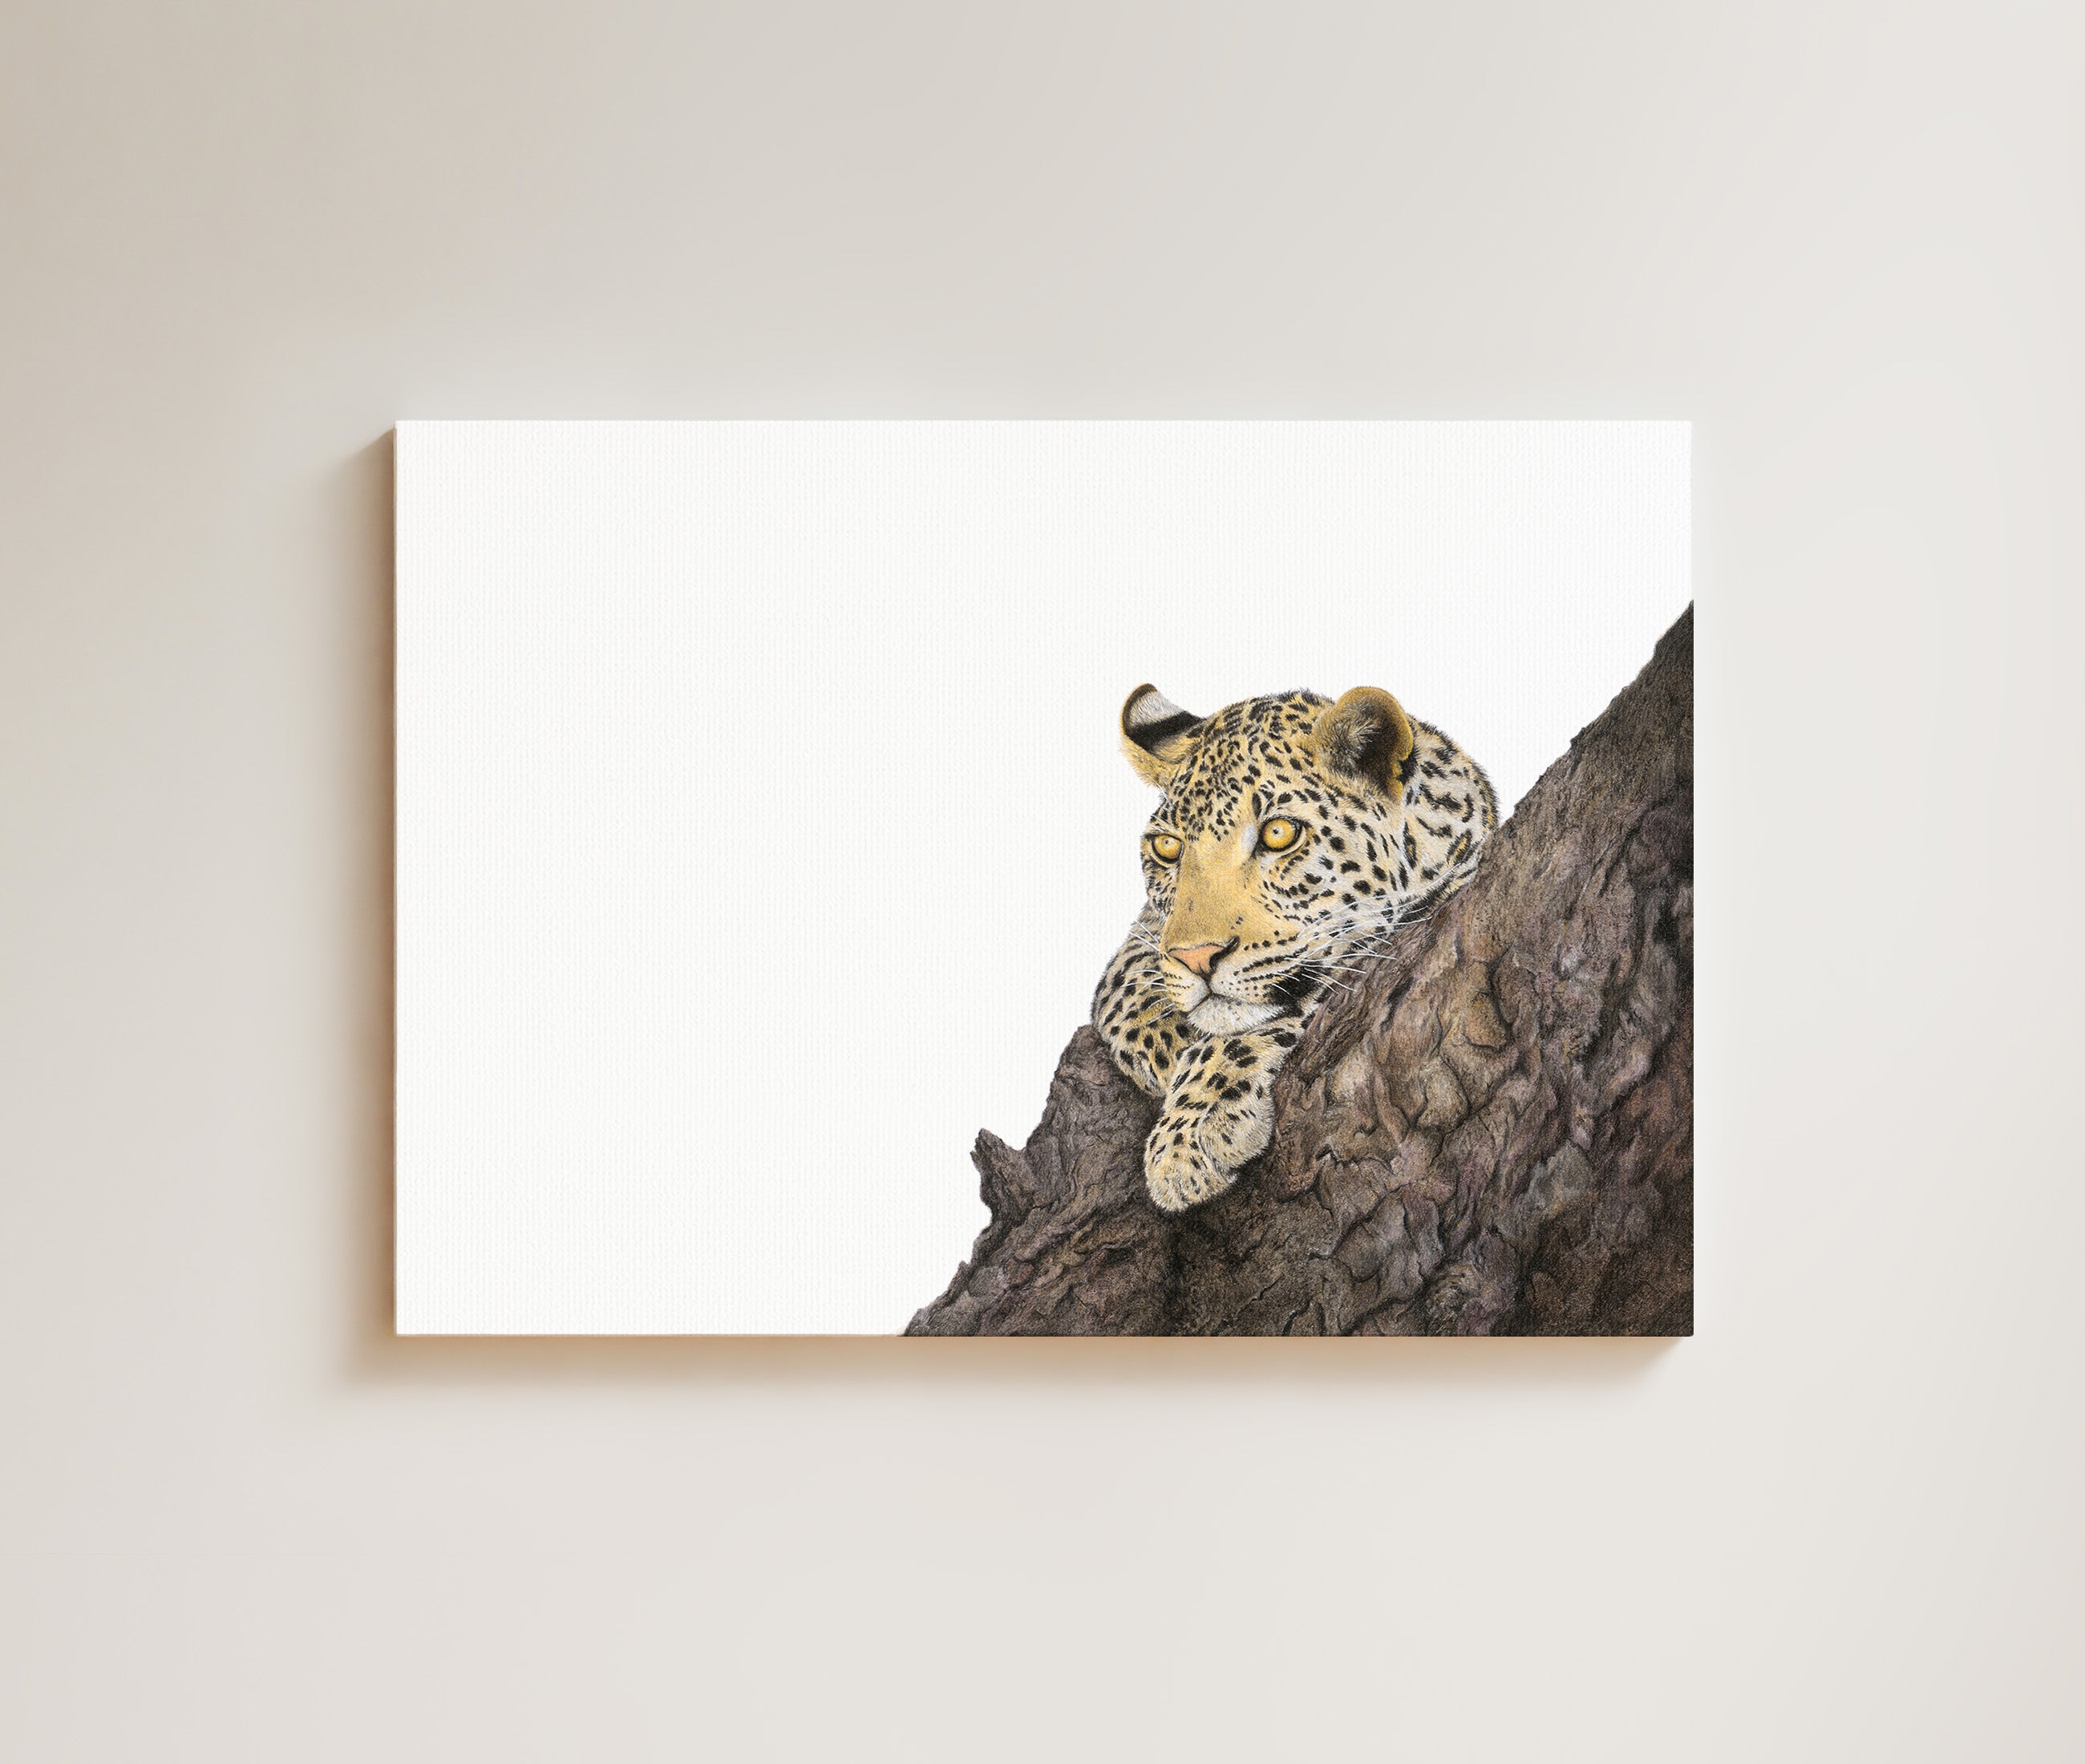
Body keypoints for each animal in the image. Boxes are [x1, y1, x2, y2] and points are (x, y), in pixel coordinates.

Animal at [1092, 679, 1497, 1212]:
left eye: (1278, 834)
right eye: (1168, 848)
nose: (1196, 959)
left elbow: (1297, 994)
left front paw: (1189, 1134)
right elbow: (1122, 979)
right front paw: (1168, 1043)